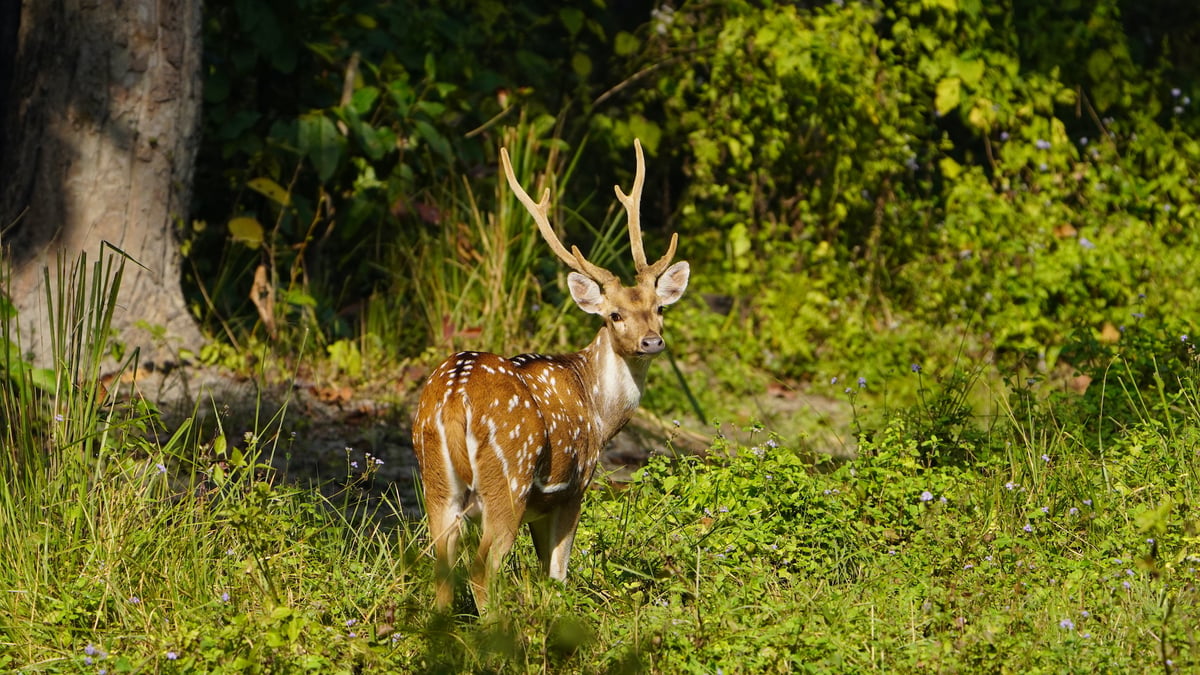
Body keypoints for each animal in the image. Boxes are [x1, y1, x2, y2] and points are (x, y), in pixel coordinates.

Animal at [411, 139, 690, 610]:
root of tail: (453, 401)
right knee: (482, 568)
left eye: (659, 308)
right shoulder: (574, 485)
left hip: (436, 481)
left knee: (441, 569)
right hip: (509, 478)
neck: (599, 411)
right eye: (615, 315)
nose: (652, 342)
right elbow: (559, 573)